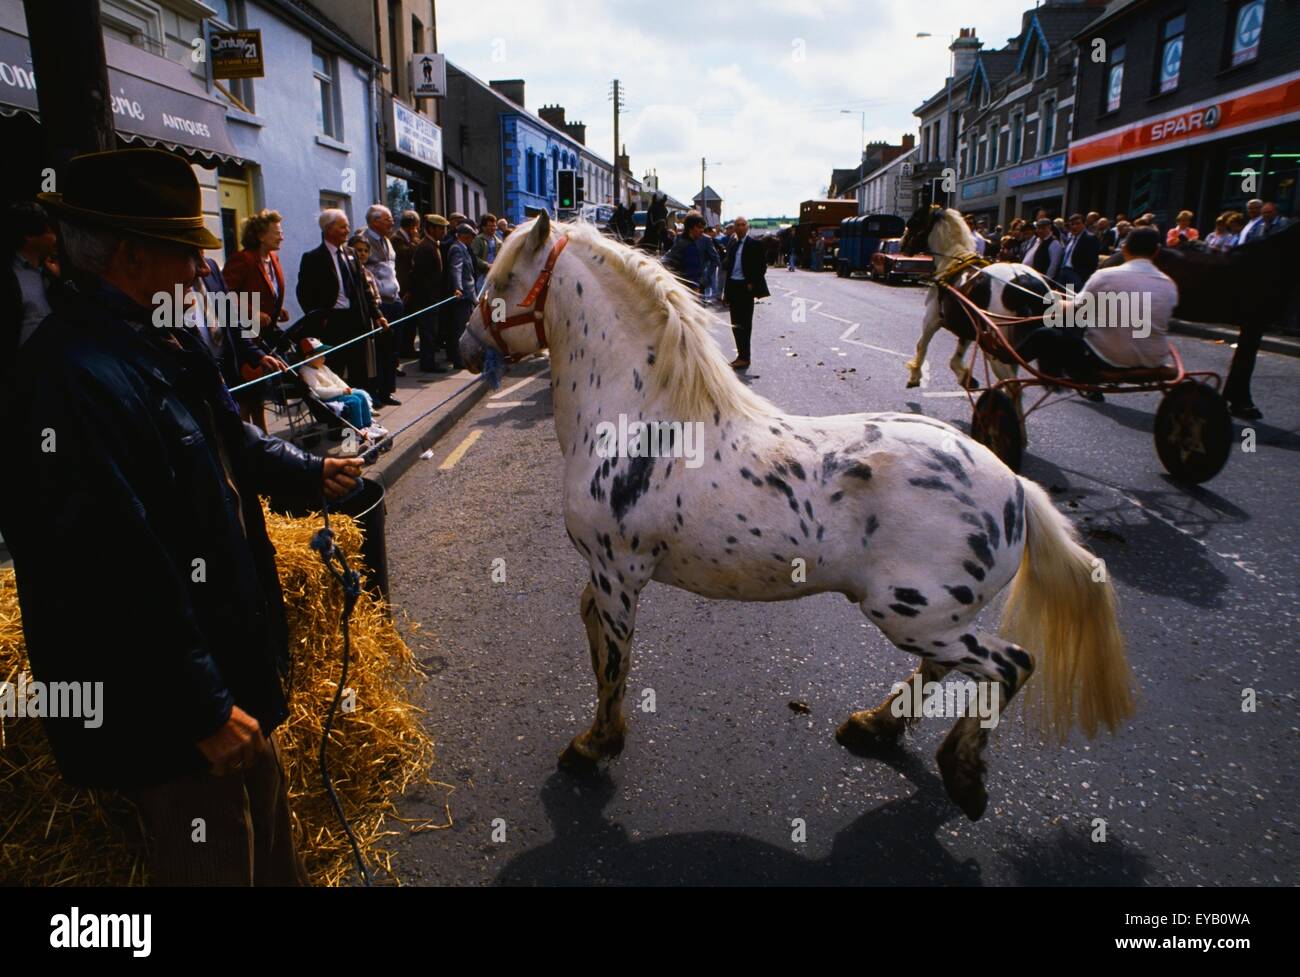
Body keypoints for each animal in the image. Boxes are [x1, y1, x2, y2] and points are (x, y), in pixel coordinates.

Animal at [462, 211, 1133, 815]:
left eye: (500, 280)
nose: (468, 347)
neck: (640, 416)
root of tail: (1015, 486)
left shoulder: (617, 573)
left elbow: (613, 661)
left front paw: (594, 744)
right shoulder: (605, 576)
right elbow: (595, 636)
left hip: (912, 613)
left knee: (1010, 665)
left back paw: (962, 773)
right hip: (932, 615)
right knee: (943, 666)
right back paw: (875, 727)